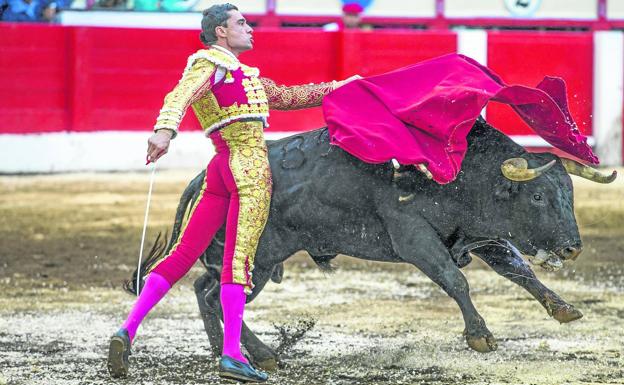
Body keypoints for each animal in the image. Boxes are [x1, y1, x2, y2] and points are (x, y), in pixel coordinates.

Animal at [129, 116, 616, 366]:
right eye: (537, 195)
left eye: (569, 193)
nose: (572, 247)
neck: (461, 173)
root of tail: (203, 178)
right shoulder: (414, 238)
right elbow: (456, 281)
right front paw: (480, 336)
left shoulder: (480, 236)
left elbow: (520, 271)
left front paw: (564, 308)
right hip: (258, 258)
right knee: (217, 293)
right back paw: (261, 354)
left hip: (249, 260)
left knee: (203, 289)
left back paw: (225, 350)